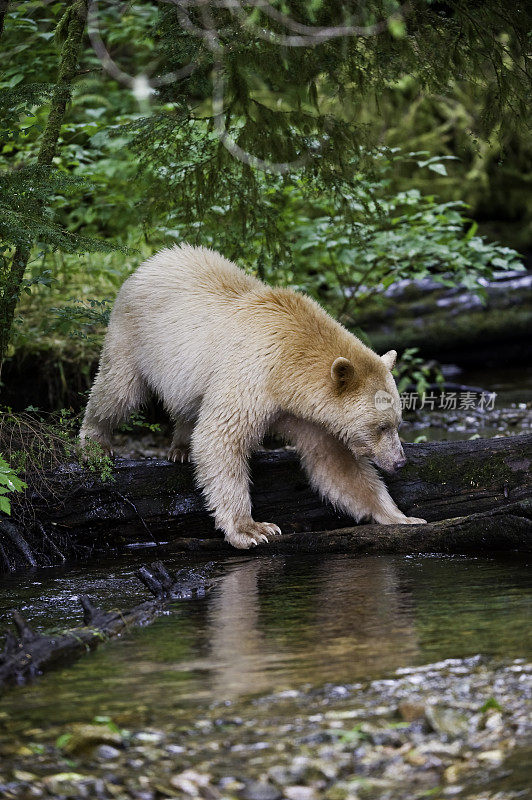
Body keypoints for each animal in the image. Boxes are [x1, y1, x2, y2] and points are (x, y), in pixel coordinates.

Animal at [81, 244, 426, 548]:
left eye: (398, 422)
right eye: (381, 426)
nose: (399, 462)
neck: (289, 367)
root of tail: (155, 259)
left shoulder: (308, 414)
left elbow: (337, 465)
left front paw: (402, 517)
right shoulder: (252, 373)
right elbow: (221, 437)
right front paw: (251, 529)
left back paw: (181, 447)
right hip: (133, 334)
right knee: (116, 390)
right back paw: (95, 444)